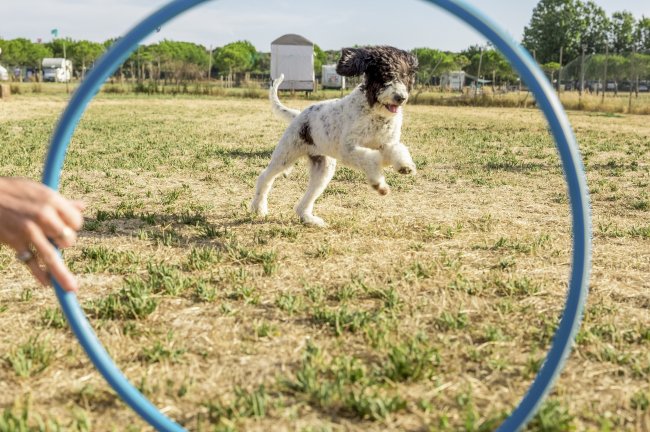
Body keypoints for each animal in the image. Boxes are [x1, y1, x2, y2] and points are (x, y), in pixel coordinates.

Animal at [251, 46, 418, 228]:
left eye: (405, 75)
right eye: (385, 75)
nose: (400, 97)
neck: (375, 113)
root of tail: (298, 115)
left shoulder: (387, 143)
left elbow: (397, 149)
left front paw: (404, 166)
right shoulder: (348, 149)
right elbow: (371, 158)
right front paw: (378, 183)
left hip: (323, 168)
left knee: (306, 199)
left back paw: (309, 219)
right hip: (285, 155)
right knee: (264, 177)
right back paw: (259, 208)